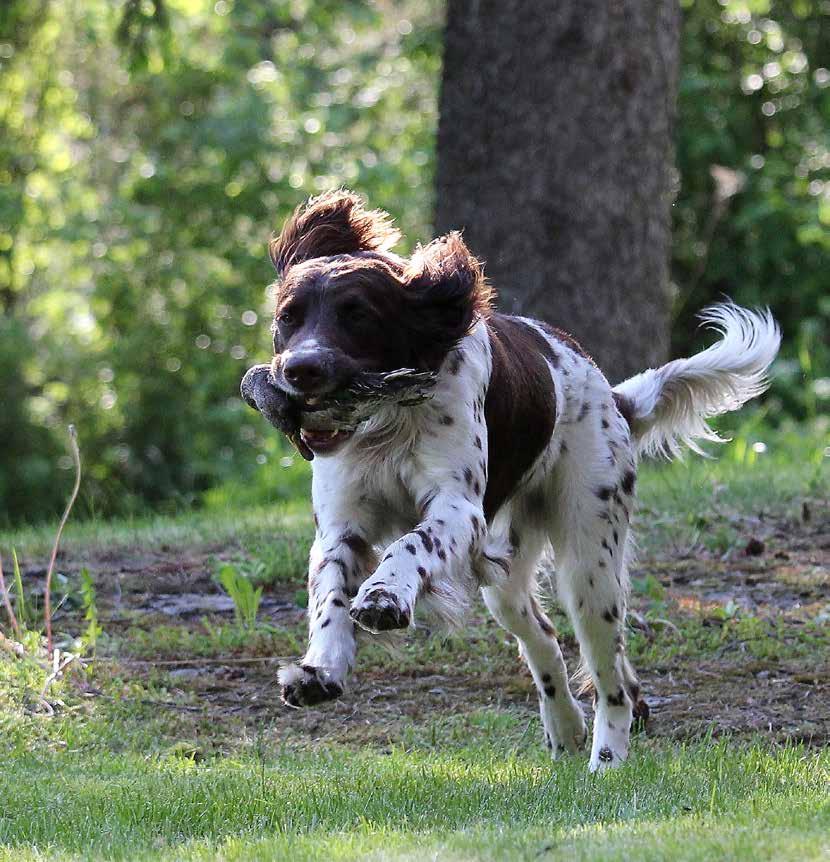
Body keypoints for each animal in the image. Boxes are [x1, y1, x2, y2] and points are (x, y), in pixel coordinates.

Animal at [245, 192, 780, 772]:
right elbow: (330, 594)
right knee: (545, 639)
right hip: (505, 579)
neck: (385, 424)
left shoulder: (459, 508)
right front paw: (320, 670)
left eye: (358, 314)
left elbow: (410, 544)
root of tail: (611, 395)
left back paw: (606, 759)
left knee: (608, 674)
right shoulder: (342, 524)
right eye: (288, 317)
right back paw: (567, 729)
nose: (299, 370)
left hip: (589, 563)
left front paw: (385, 595)